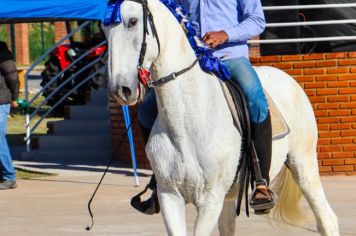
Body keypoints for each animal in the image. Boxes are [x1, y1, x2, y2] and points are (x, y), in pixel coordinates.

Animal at [103, 0, 340, 234]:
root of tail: (287, 78)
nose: (120, 90)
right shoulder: (169, 196)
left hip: (303, 164)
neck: (186, 125)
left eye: (133, 22)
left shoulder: (210, 199)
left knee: (326, 219)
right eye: (105, 31)